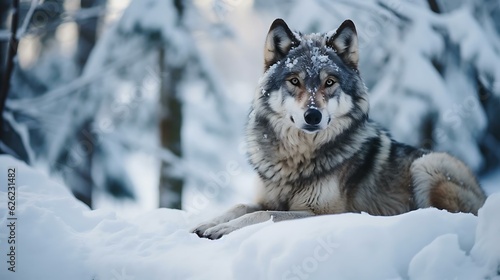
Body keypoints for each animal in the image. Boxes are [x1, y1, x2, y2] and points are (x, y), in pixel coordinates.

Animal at [190, 18, 484, 240]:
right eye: (294, 81)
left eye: (329, 82)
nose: (312, 115)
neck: (296, 159)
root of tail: (483, 195)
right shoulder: (266, 198)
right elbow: (242, 206)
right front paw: (207, 223)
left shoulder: (323, 212)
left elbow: (262, 215)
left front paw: (222, 229)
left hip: (428, 164)